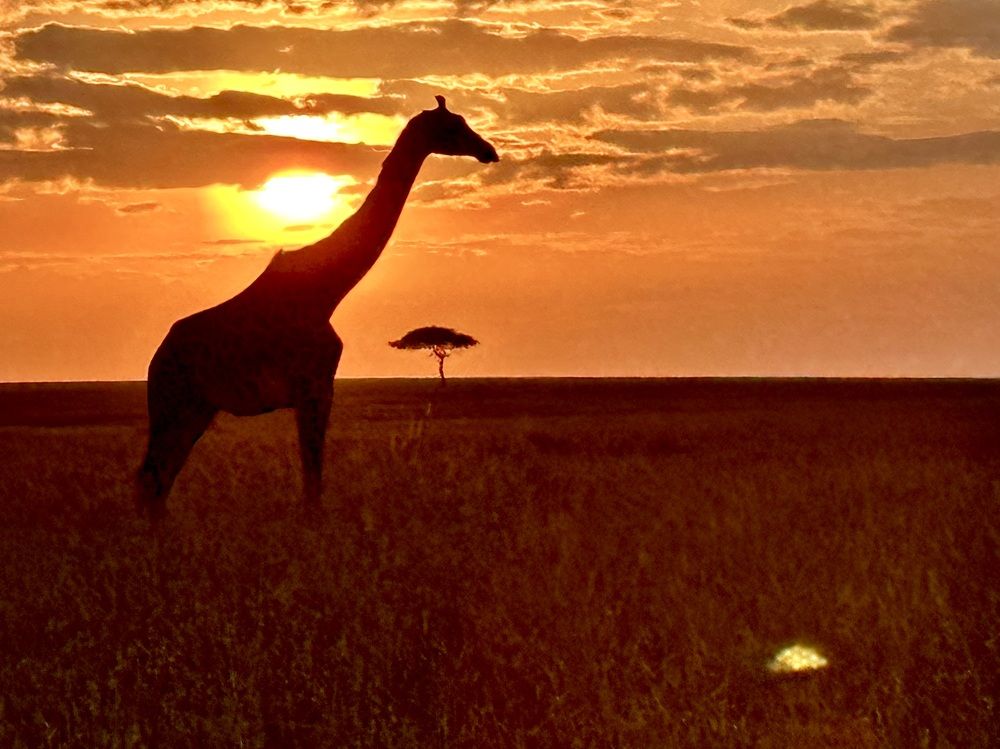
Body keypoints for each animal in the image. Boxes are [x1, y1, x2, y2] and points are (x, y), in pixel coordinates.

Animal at [137, 96, 498, 512]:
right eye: (453, 127)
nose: (489, 151)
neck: (327, 290)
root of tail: (157, 356)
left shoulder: (313, 390)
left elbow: (313, 477)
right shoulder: (314, 387)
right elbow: (313, 479)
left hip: (198, 407)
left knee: (159, 477)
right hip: (174, 402)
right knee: (151, 476)